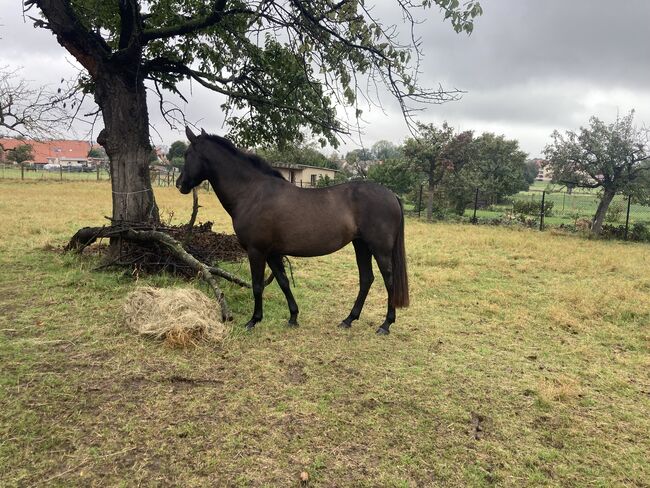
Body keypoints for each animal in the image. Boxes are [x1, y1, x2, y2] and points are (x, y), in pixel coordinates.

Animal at [176, 127, 410, 334]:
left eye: (187, 155)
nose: (180, 184)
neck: (252, 193)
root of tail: (391, 194)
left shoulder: (256, 251)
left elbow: (258, 285)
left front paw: (253, 321)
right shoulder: (272, 253)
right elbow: (283, 282)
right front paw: (293, 317)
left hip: (379, 249)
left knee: (388, 280)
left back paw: (385, 324)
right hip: (360, 245)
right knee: (366, 279)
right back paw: (348, 319)